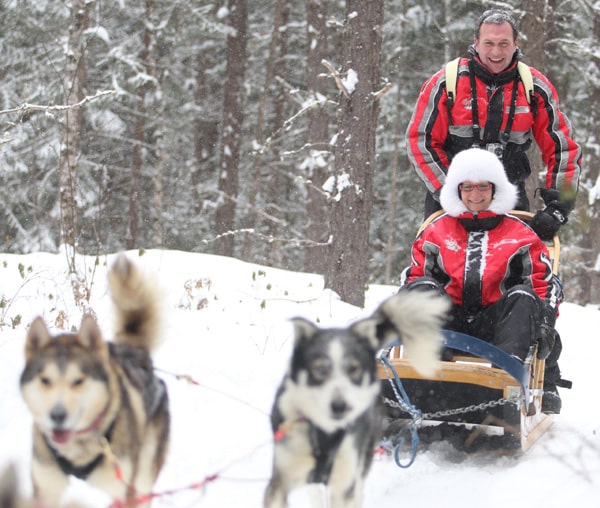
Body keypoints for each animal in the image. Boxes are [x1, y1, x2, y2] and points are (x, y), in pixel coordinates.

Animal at [19, 256, 169, 506]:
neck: (77, 451)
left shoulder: (126, 492)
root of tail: (133, 352)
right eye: (45, 380)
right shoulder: (45, 490)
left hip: (142, 479)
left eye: (78, 380)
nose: (57, 416)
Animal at [264, 290, 450, 508]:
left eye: (354, 369)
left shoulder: (345, 483)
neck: (325, 433)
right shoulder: (280, 481)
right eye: (320, 369)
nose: (340, 406)